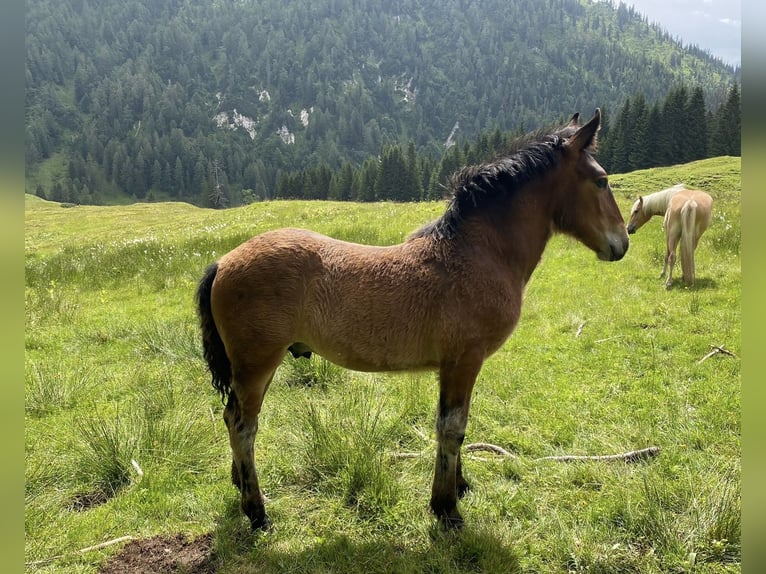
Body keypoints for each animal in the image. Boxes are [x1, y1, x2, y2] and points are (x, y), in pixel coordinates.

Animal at [196, 110, 632, 532]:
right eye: (601, 181)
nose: (622, 242)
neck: (478, 253)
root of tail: (223, 262)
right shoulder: (463, 361)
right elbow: (452, 427)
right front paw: (446, 507)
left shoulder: (456, 366)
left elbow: (458, 424)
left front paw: (460, 485)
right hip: (256, 364)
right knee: (243, 425)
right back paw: (256, 511)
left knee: (232, 417)